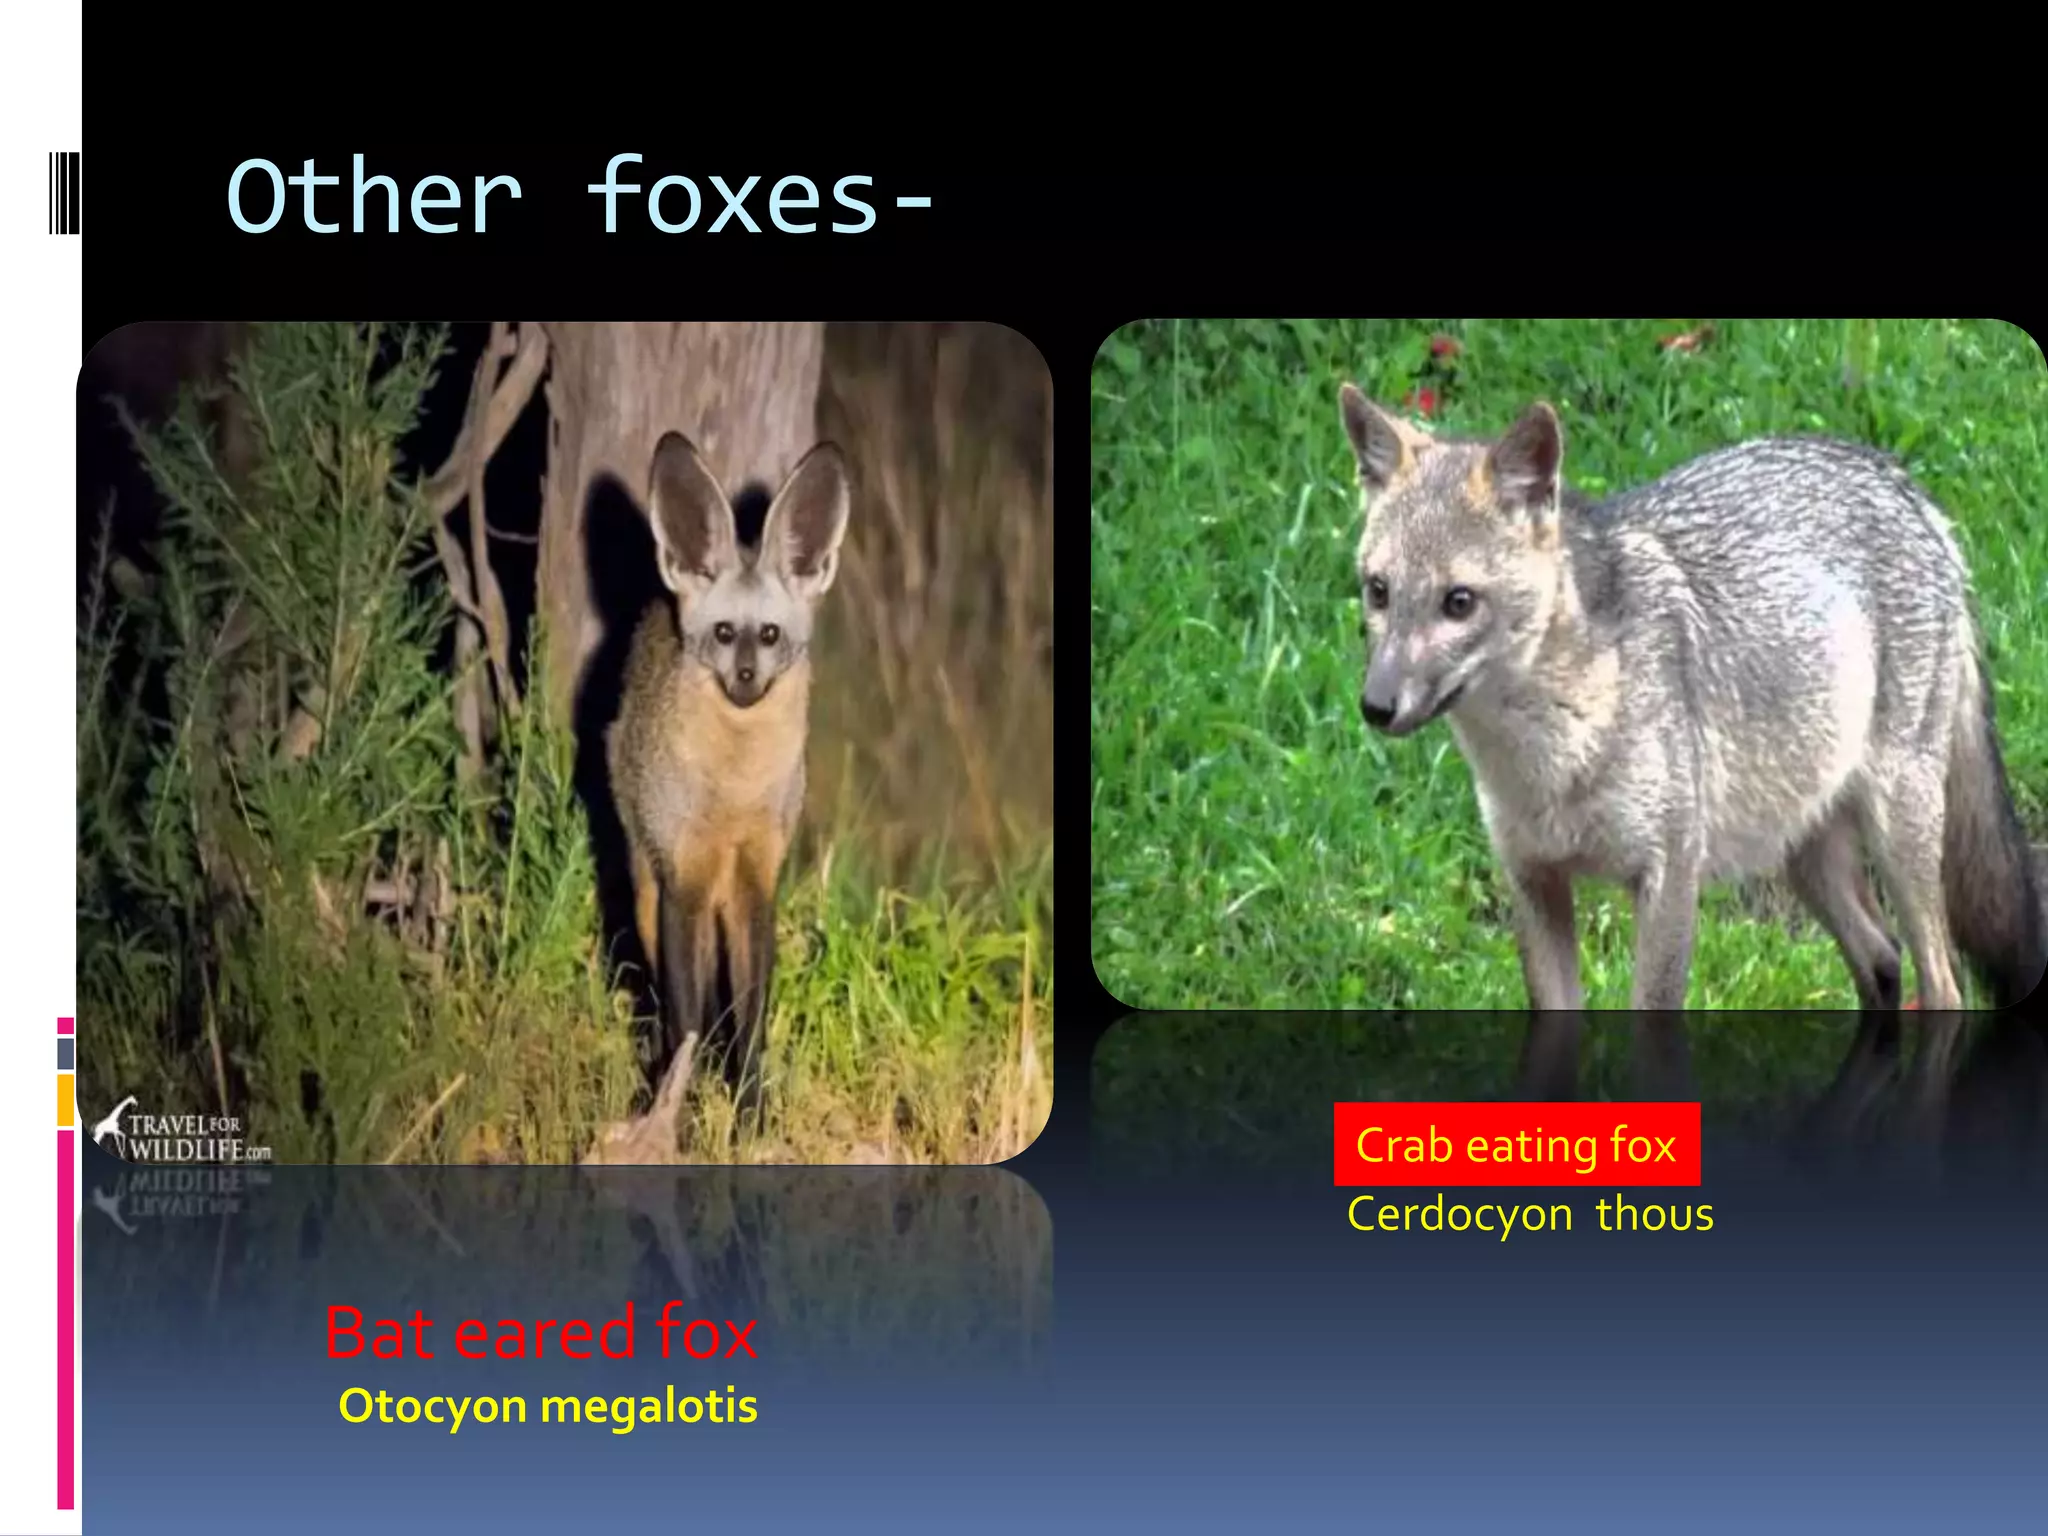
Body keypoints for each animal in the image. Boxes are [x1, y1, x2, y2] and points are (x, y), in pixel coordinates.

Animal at [607, 430, 851, 1131]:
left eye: (769, 635)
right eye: (722, 634)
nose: (745, 680)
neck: (734, 796)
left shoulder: (755, 882)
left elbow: (751, 1020)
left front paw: (751, 1116)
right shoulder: (683, 881)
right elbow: (687, 1020)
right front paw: (676, 1118)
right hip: (647, 890)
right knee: (666, 1005)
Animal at [1338, 383, 2046, 1133]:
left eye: (1458, 603)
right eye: (1379, 591)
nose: (1376, 706)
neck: (1550, 761)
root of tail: (1900, 481)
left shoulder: (1669, 876)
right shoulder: (1533, 882)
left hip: (1898, 839)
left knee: (1943, 985)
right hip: (1804, 859)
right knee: (1883, 964)